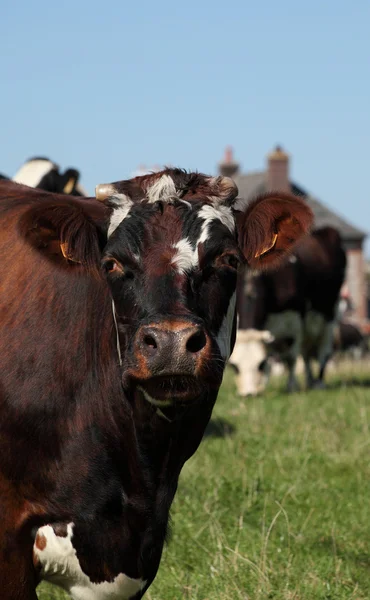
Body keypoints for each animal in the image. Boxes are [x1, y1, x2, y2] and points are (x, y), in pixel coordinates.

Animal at [231, 225, 346, 394]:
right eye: (235, 367)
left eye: (261, 364)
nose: (248, 394)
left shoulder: (295, 320)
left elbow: (290, 358)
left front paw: (291, 386)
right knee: (306, 354)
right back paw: (309, 381)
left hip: (330, 315)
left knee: (323, 352)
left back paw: (318, 382)